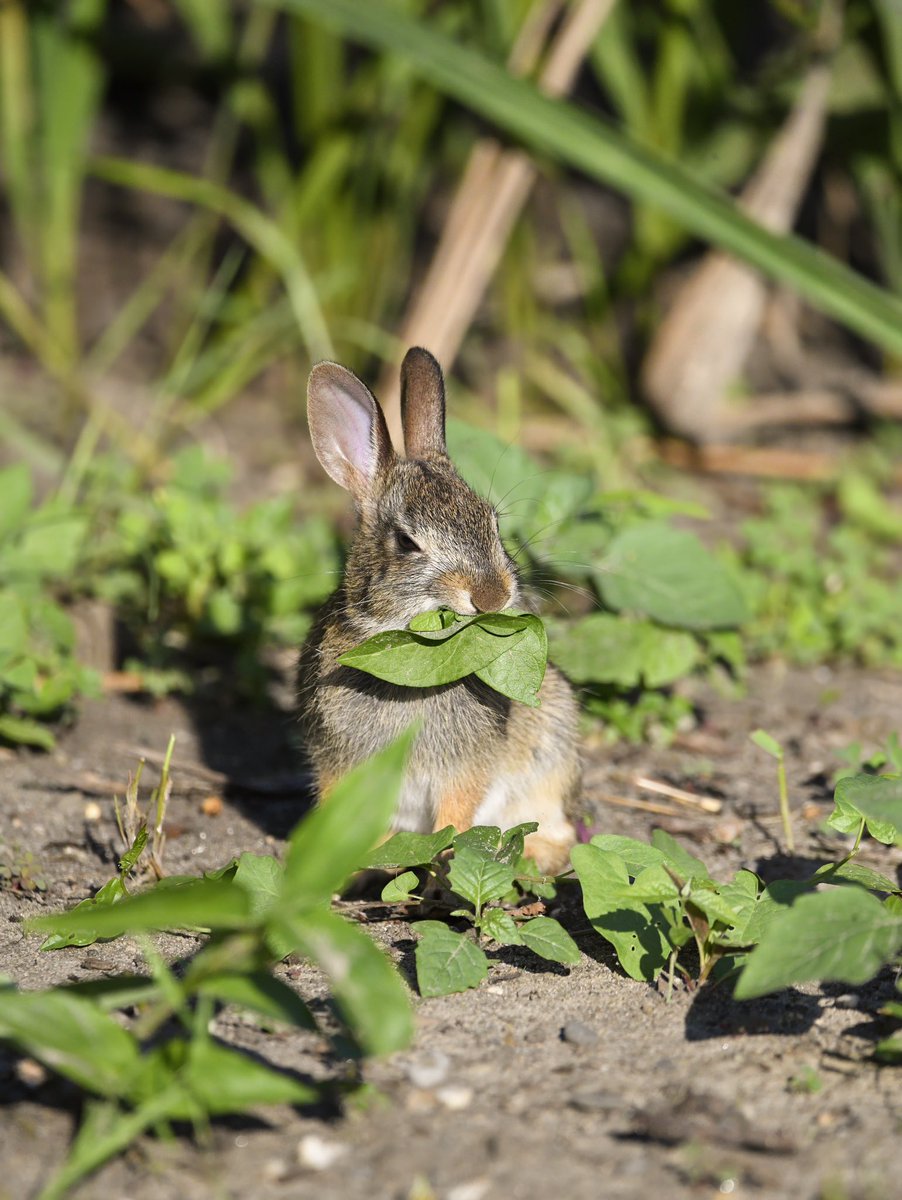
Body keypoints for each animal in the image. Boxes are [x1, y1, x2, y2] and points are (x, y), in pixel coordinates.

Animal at [297, 346, 581, 875]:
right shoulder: (337, 761)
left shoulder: (465, 772)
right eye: (407, 543)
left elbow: (455, 816)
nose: (491, 596)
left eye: (492, 522)